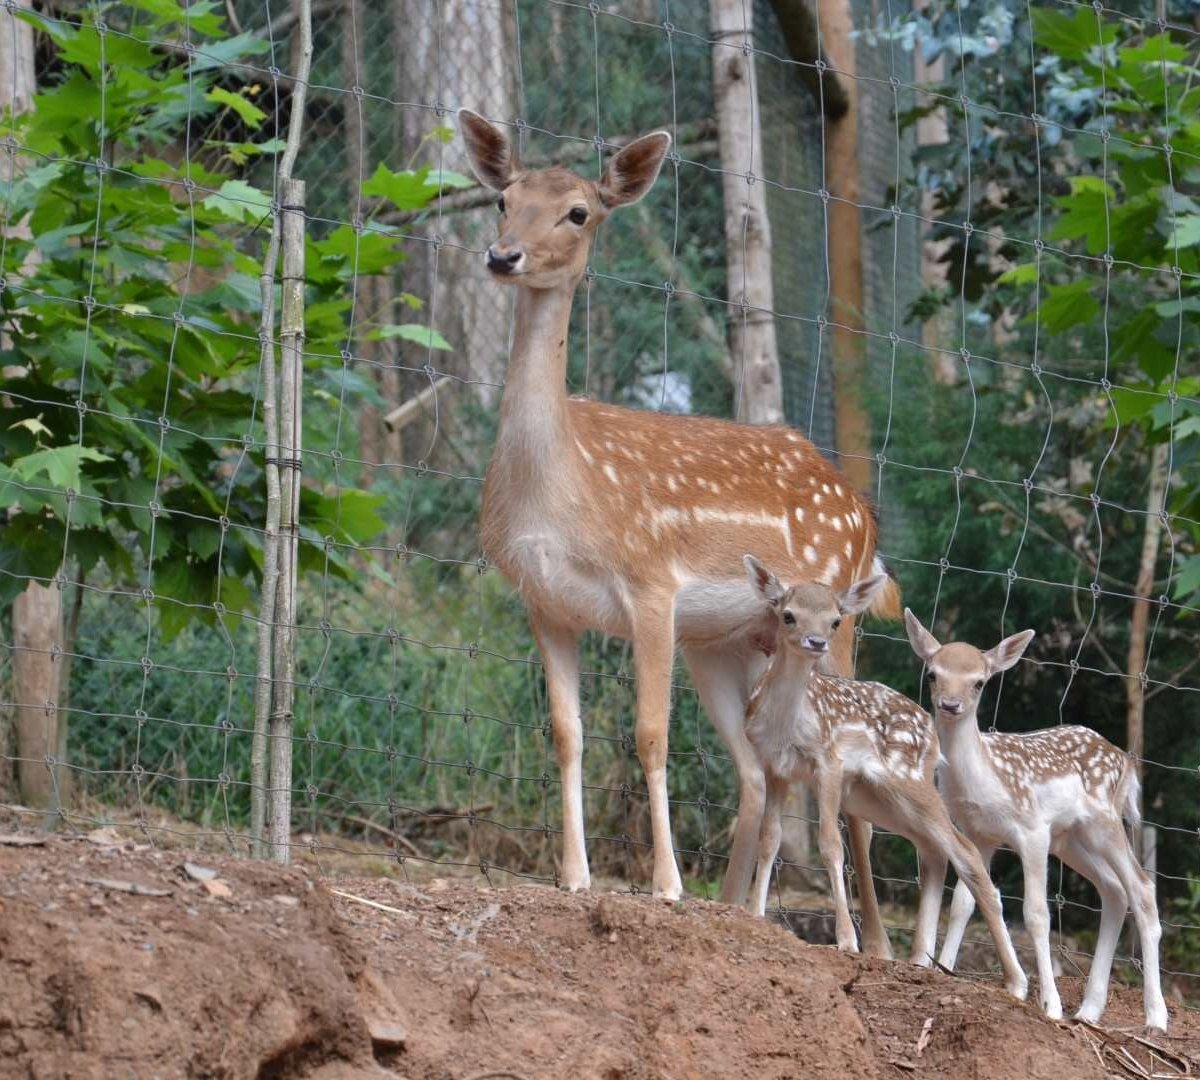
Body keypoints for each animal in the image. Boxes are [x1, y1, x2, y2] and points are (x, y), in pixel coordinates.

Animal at [458, 107, 902, 912]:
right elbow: (566, 732)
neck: (559, 493)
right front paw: (574, 875)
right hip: (728, 642)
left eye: (579, 212)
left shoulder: (650, 585)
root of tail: (862, 511)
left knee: (846, 773)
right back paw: (731, 906)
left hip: (836, 620)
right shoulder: (545, 602)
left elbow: (649, 734)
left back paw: (870, 935)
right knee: (756, 766)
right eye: (504, 199)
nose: (504, 256)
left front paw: (664, 885)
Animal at [744, 561, 1027, 998]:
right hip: (875, 796)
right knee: (933, 850)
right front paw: (756, 915)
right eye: (787, 614)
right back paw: (921, 960)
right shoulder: (775, 769)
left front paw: (847, 940)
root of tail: (930, 731)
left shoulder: (828, 762)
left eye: (836, 620)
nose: (815, 641)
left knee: (964, 852)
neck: (784, 726)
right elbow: (769, 839)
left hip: (910, 781)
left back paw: (1017, 982)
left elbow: (831, 846)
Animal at [902, 612, 1166, 1032]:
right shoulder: (979, 833)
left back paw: (1156, 1017)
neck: (983, 779)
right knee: (1114, 890)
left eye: (980, 681)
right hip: (1072, 839)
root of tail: (1125, 762)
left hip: (1105, 823)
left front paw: (1050, 1004)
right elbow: (964, 902)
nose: (950, 704)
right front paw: (945, 965)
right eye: (932, 673)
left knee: (1141, 887)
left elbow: (1037, 914)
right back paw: (1089, 1009)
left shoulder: (1032, 831)